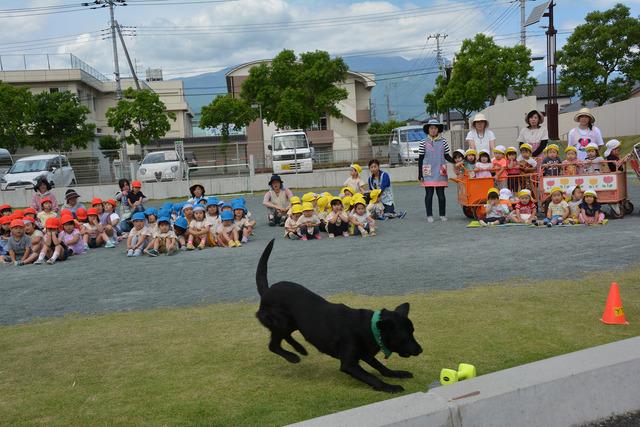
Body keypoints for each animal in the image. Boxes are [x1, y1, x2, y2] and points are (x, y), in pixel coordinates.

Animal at [255, 239, 424, 392]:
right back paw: (293, 356)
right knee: (273, 345)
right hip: (281, 321)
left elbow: (381, 367)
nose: (420, 350)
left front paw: (396, 374)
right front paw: (390, 387)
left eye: (413, 332)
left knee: (284, 337)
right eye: (405, 336)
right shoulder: (349, 364)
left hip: (291, 323)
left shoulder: (366, 354)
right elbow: (371, 377)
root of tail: (267, 291)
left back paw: (300, 349)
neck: (369, 327)